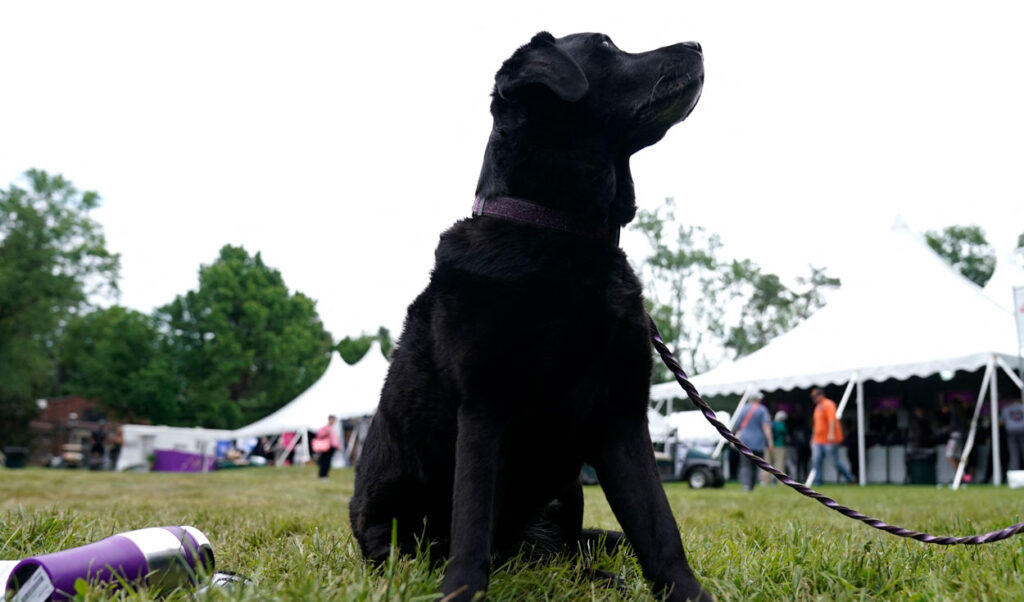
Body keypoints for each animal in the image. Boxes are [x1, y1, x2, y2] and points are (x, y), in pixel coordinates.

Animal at [348, 33, 708, 602]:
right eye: (606, 44)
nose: (696, 44)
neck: (561, 234)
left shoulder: (622, 416)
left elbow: (659, 529)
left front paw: (689, 593)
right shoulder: (483, 407)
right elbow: (471, 526)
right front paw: (460, 591)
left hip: (564, 492)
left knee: (563, 556)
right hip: (392, 517)